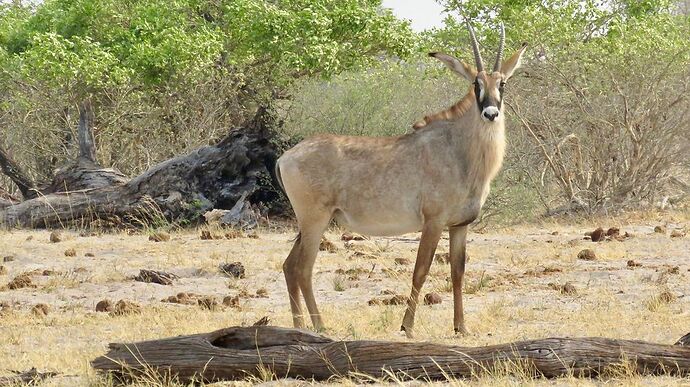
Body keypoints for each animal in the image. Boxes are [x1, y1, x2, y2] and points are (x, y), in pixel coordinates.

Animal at [274, 21, 528, 338]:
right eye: (475, 84)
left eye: (502, 83)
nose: (490, 113)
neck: (459, 149)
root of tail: (285, 157)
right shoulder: (433, 222)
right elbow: (421, 271)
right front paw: (407, 327)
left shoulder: (459, 226)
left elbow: (457, 272)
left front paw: (461, 327)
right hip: (314, 221)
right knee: (303, 268)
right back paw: (320, 326)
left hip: (309, 223)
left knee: (289, 266)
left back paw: (299, 327)